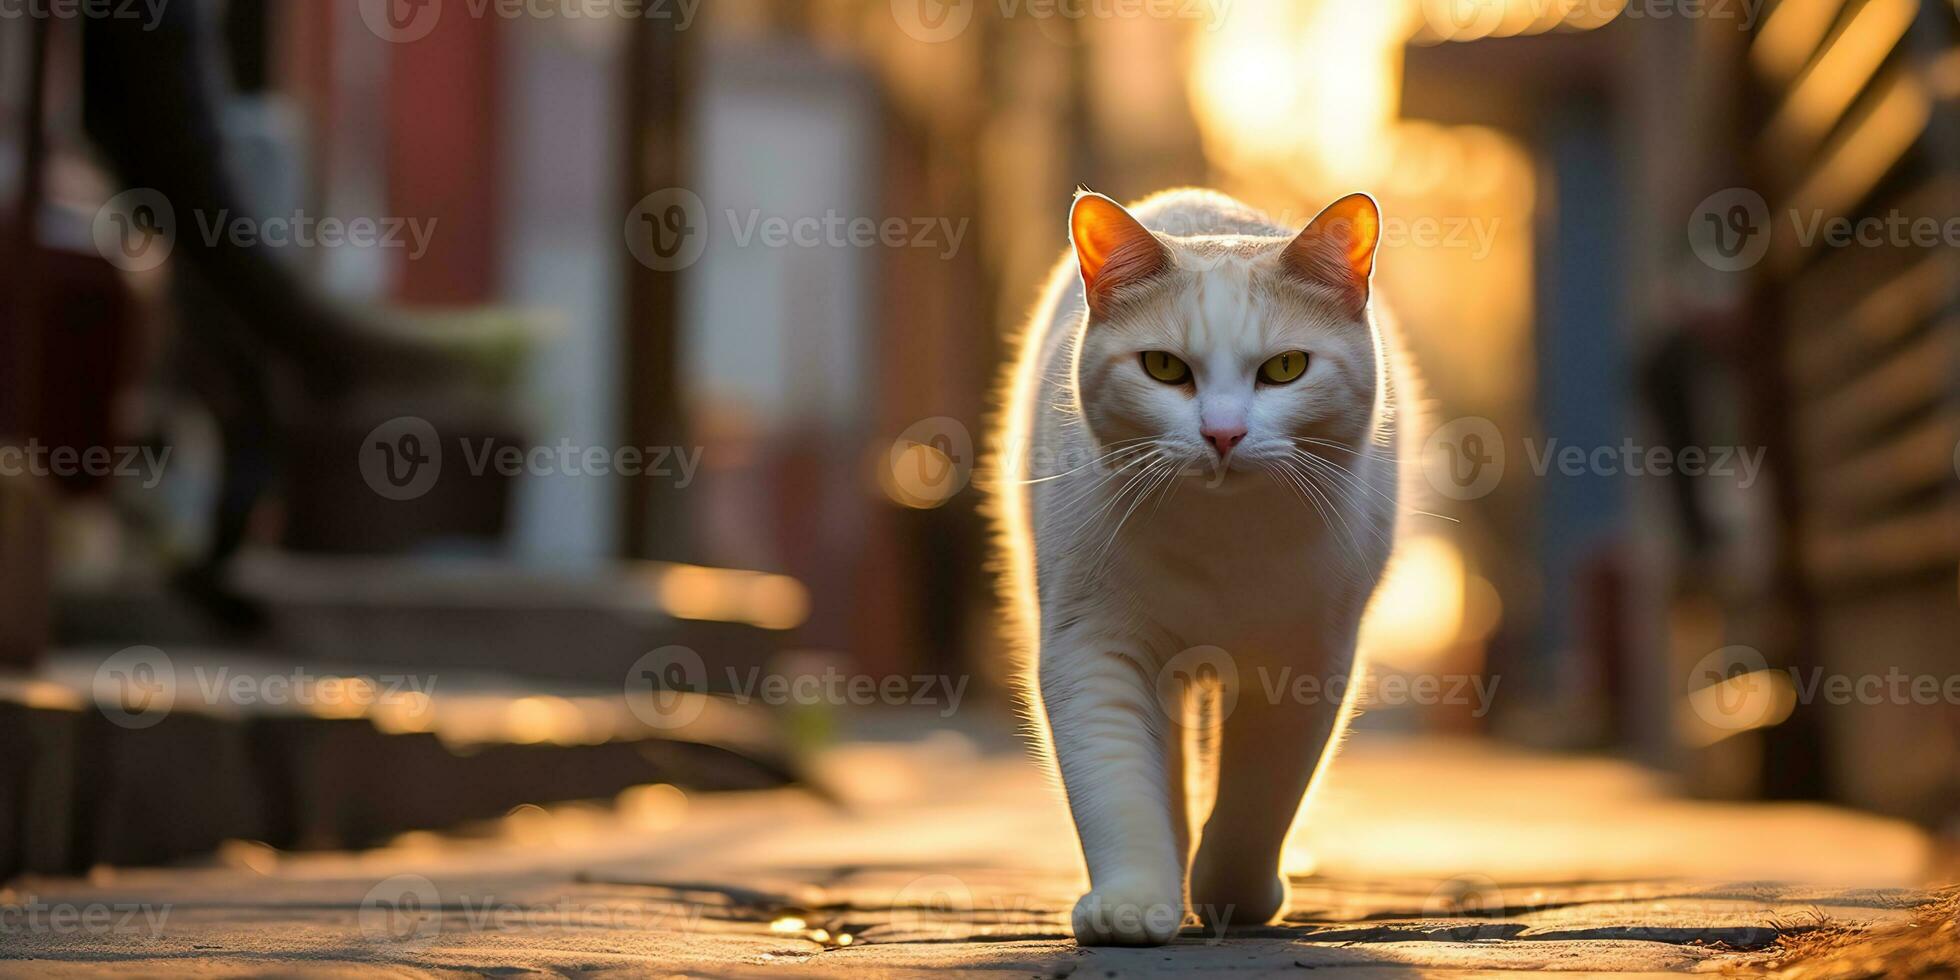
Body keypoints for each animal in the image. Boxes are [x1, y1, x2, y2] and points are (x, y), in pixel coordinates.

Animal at [995, 187, 1411, 944]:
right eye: (1163, 367)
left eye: (1286, 368)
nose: (1222, 434)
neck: (1222, 547)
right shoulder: (1094, 645)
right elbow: (1117, 784)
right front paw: (1133, 901)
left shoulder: (1305, 664)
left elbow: (1259, 798)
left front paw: (1233, 896)